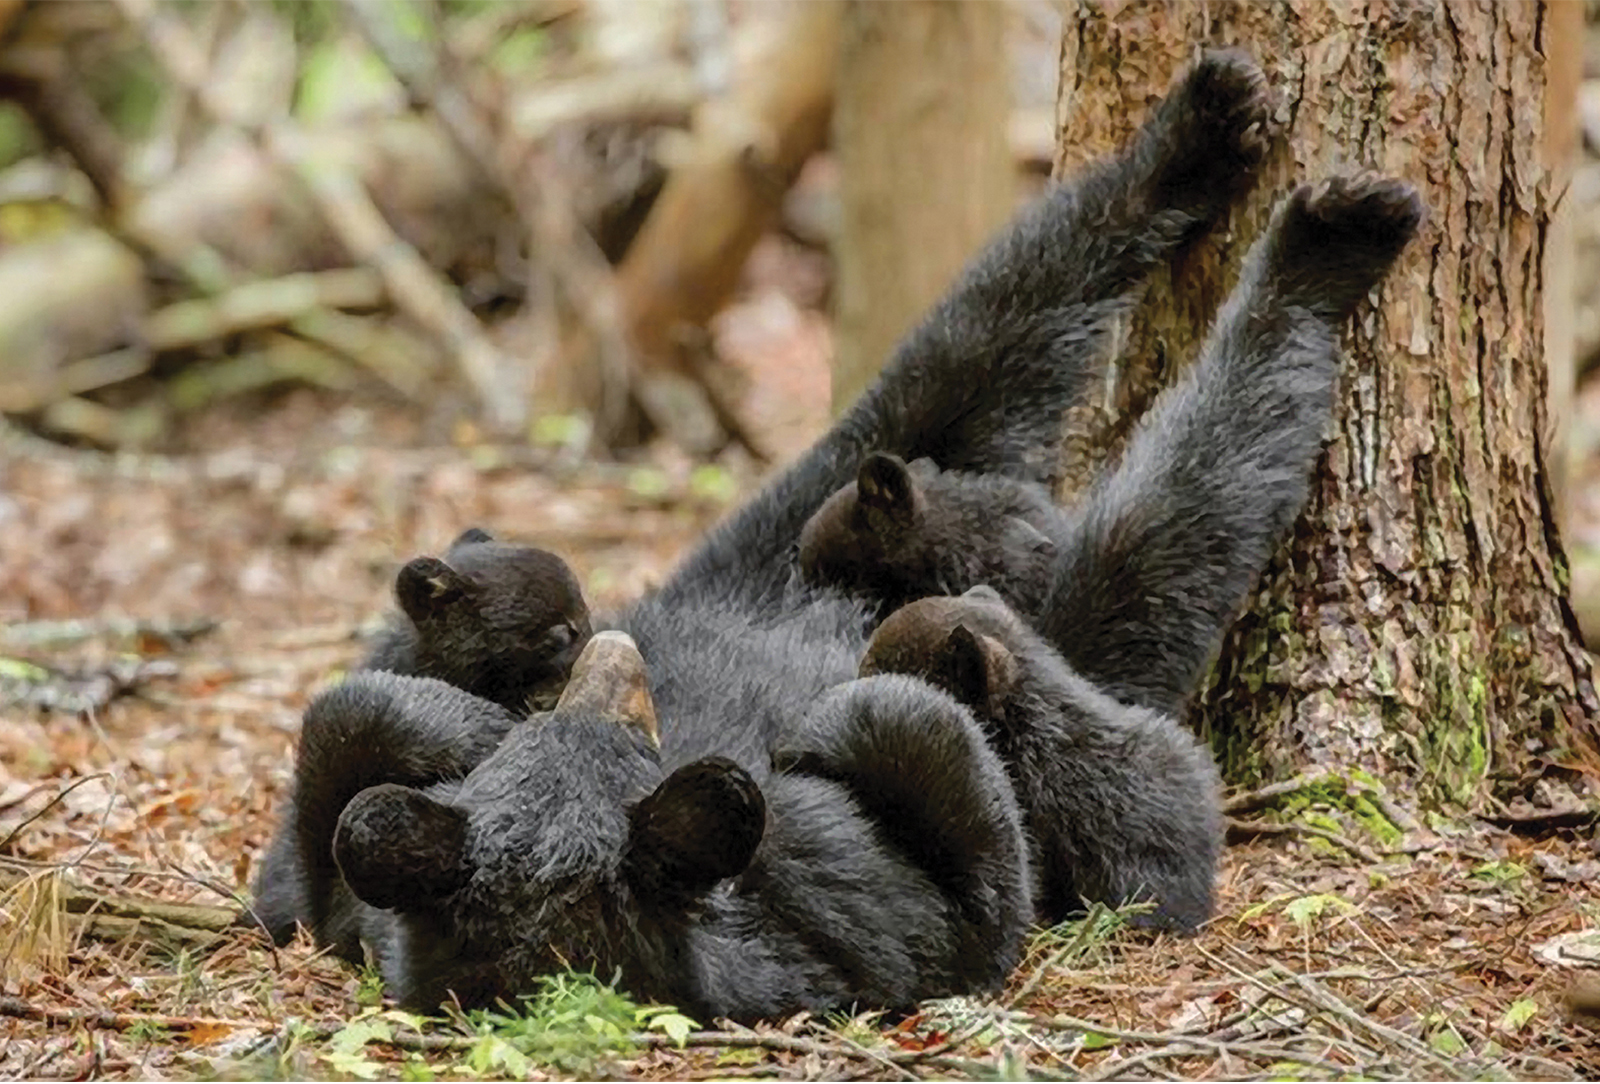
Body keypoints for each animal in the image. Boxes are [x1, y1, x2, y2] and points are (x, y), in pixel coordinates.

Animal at [249, 46, 1427, 1023]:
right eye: (623, 738)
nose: (607, 656)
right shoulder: (856, 904)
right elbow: (977, 848)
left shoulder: (343, 880)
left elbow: (339, 750)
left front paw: (446, 728)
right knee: (1165, 525)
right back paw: (1320, 248)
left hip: (781, 534)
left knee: (966, 355)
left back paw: (1194, 138)